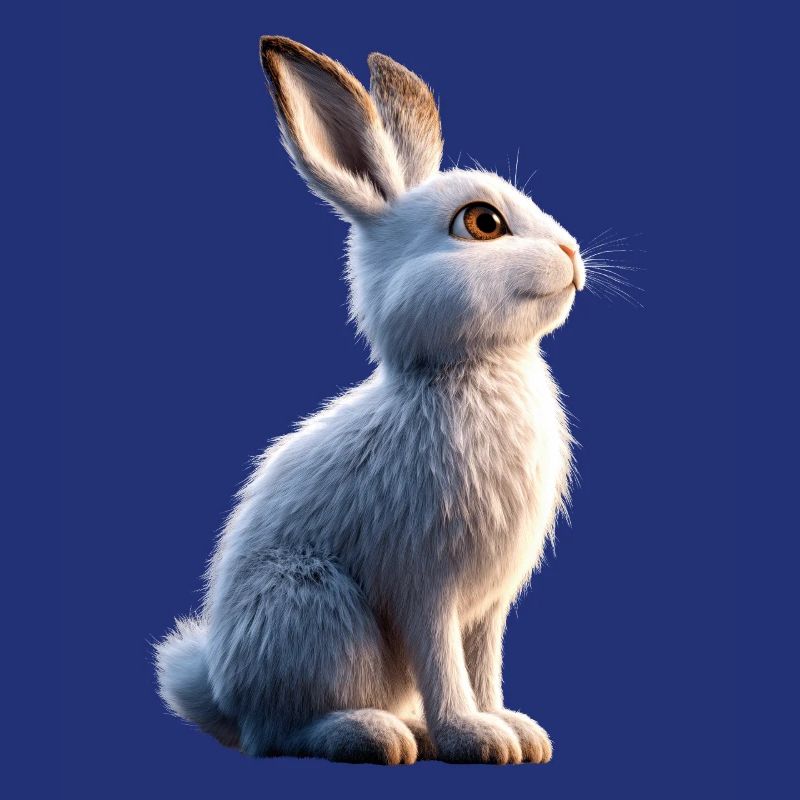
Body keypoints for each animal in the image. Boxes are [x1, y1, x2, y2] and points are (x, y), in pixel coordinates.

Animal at [155, 35, 586, 765]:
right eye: (482, 222)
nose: (573, 253)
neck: (468, 369)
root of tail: (222, 693)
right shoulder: (426, 585)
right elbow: (445, 666)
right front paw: (474, 738)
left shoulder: (488, 607)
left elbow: (483, 666)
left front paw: (516, 732)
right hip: (319, 611)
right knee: (280, 734)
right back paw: (376, 735)